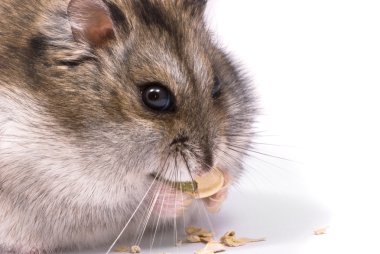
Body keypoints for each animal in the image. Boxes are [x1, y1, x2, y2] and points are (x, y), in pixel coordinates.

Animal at [0, 0, 255, 252]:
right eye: (155, 96)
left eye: (217, 84)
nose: (207, 168)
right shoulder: (73, 189)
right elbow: (135, 199)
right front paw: (174, 197)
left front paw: (220, 188)